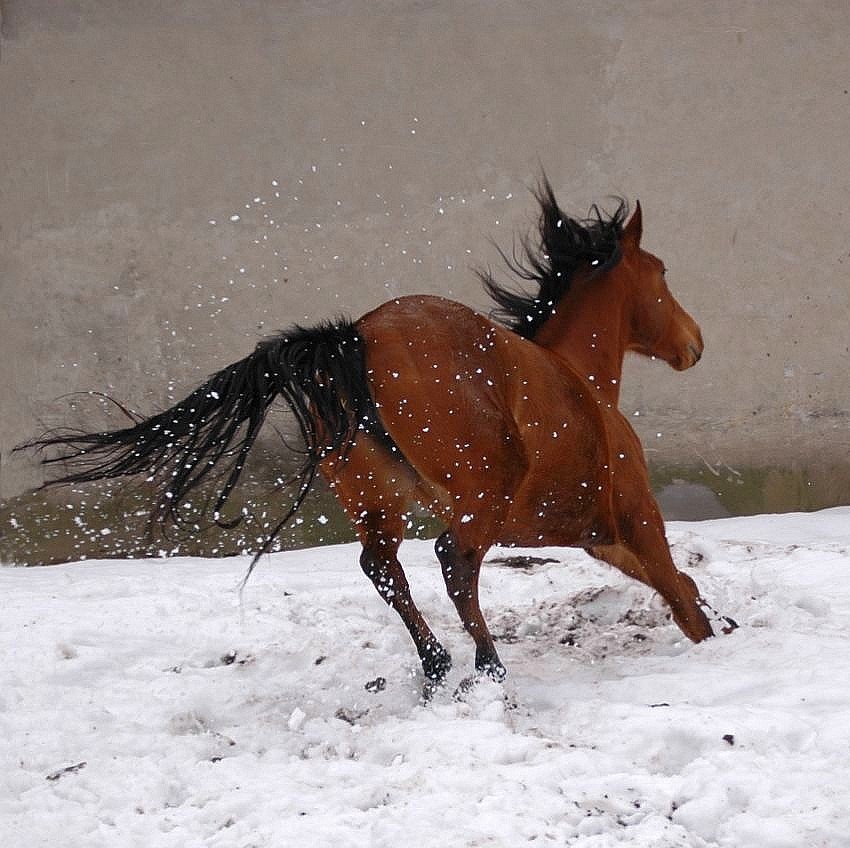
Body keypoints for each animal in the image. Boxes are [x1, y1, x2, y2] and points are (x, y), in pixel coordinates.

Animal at [19, 181, 724, 688]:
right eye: (661, 272)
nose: (696, 342)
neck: (579, 380)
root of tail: (355, 336)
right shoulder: (635, 520)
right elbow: (682, 598)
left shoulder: (601, 538)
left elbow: (681, 591)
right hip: (481, 492)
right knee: (452, 560)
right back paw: (486, 667)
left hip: (376, 499)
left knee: (384, 570)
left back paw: (438, 666)